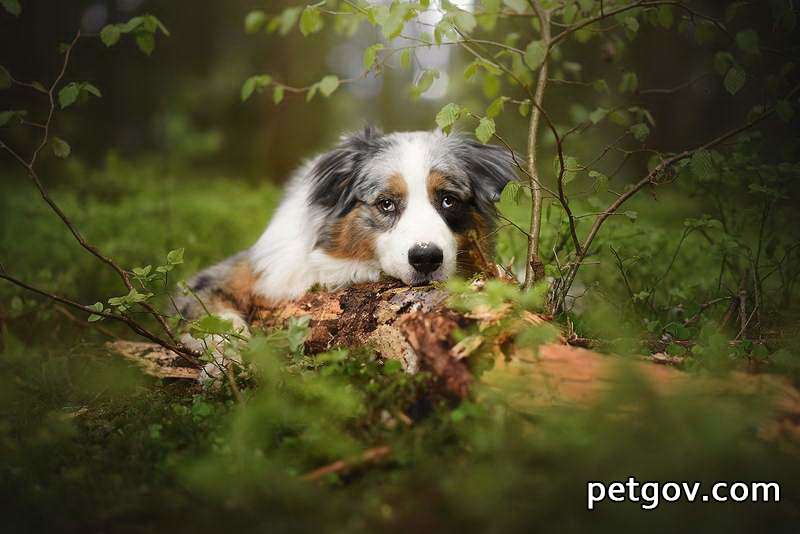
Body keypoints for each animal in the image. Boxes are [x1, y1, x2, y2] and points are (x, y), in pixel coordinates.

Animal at [173, 129, 520, 378]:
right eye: (386, 203)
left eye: (448, 200)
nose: (426, 258)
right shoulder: (225, 278)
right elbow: (219, 321)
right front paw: (224, 364)